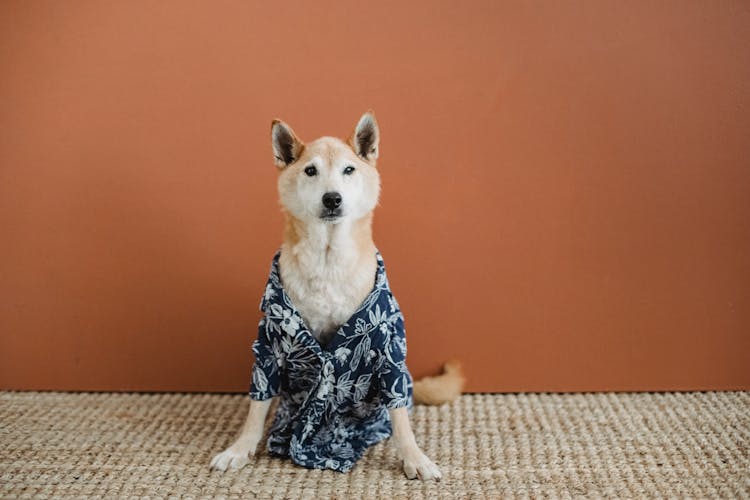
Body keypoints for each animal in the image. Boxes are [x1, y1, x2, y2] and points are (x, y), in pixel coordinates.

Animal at [209, 111, 462, 478]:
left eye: (349, 170)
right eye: (310, 170)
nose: (332, 198)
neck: (328, 260)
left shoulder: (386, 346)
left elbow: (400, 416)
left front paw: (414, 457)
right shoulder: (270, 343)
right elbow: (257, 406)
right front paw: (240, 448)